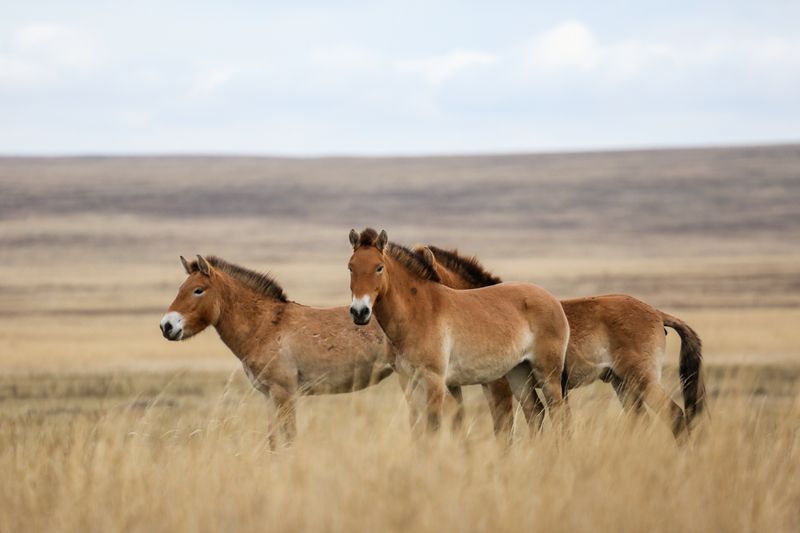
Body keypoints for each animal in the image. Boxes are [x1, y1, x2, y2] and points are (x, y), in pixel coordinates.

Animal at [159, 255, 396, 447]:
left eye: (198, 290)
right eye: (180, 289)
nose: (166, 326)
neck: (265, 326)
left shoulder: (284, 393)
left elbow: (289, 438)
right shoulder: (268, 395)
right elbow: (273, 440)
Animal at [346, 228, 571, 434]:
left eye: (379, 267)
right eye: (350, 267)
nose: (359, 312)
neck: (420, 310)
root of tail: (552, 299)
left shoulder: (435, 381)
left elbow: (434, 429)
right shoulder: (411, 381)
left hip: (547, 374)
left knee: (557, 414)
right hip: (519, 372)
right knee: (536, 412)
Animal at [417, 245, 706, 439]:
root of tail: (656, 313)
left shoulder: (500, 388)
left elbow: (505, 431)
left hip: (642, 378)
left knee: (676, 416)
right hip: (622, 383)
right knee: (642, 423)